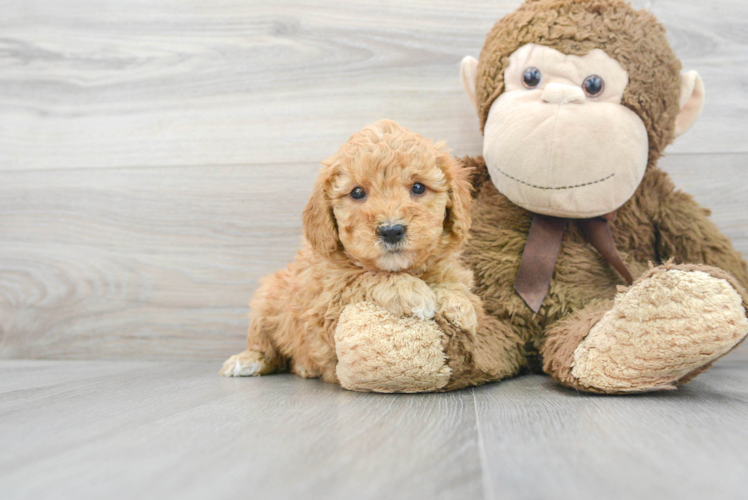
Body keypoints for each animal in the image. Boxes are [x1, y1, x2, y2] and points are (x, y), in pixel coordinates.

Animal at [219, 120, 482, 382]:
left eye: (418, 187)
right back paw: (248, 360)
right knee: (264, 344)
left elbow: (454, 280)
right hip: (266, 299)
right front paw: (411, 291)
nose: (391, 231)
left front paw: (460, 304)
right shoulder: (327, 303)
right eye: (357, 192)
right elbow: (362, 277)